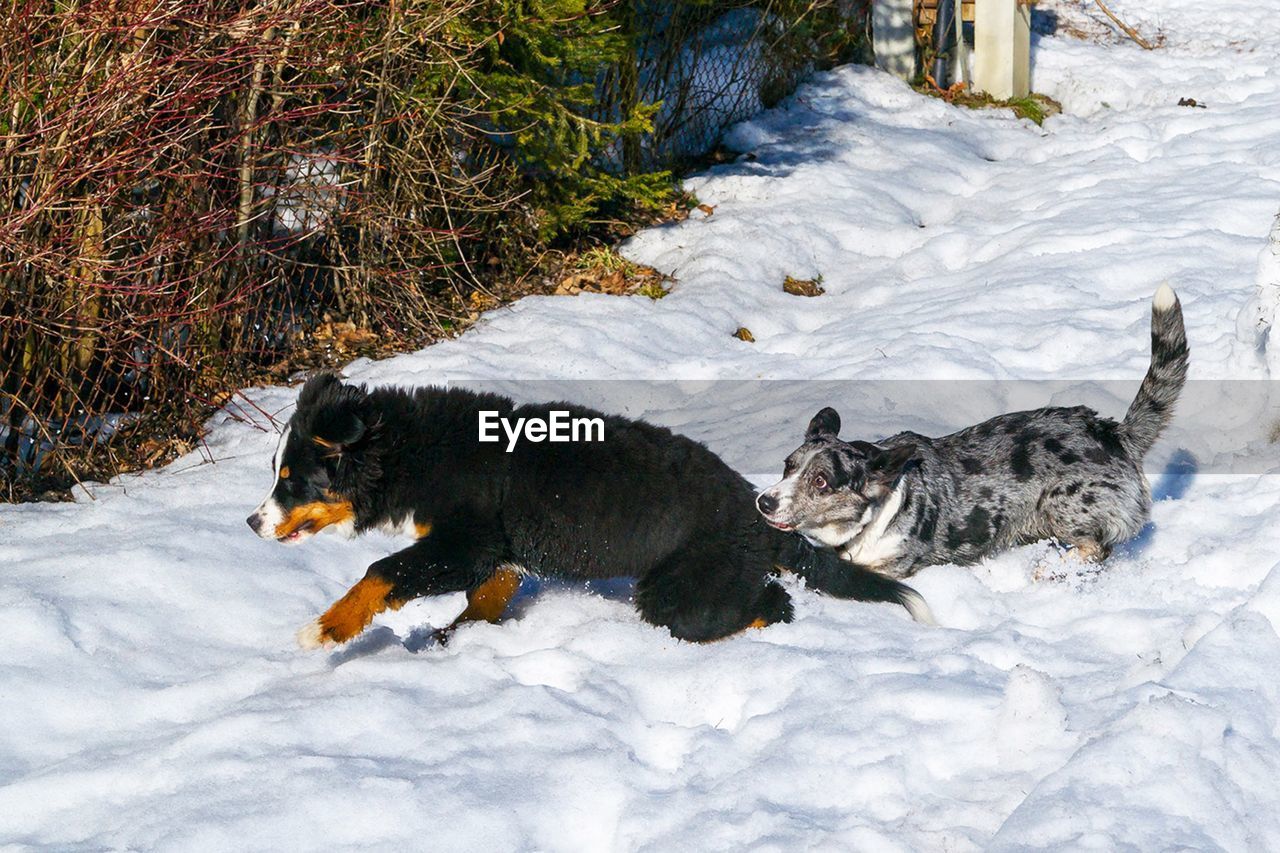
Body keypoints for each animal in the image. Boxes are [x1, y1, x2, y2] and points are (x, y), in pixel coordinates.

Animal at [247, 371, 931, 645]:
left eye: (291, 481)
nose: (252, 522)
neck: (418, 451)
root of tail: (762, 516)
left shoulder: (464, 541)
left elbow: (382, 572)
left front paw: (326, 629)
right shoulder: (497, 550)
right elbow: (489, 593)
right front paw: (457, 636)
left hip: (677, 591)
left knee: (764, 605)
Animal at [757, 285, 1187, 578]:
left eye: (821, 481)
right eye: (787, 466)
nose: (764, 501)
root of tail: (1116, 433)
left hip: (1062, 504)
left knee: (1098, 548)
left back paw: (1049, 571)